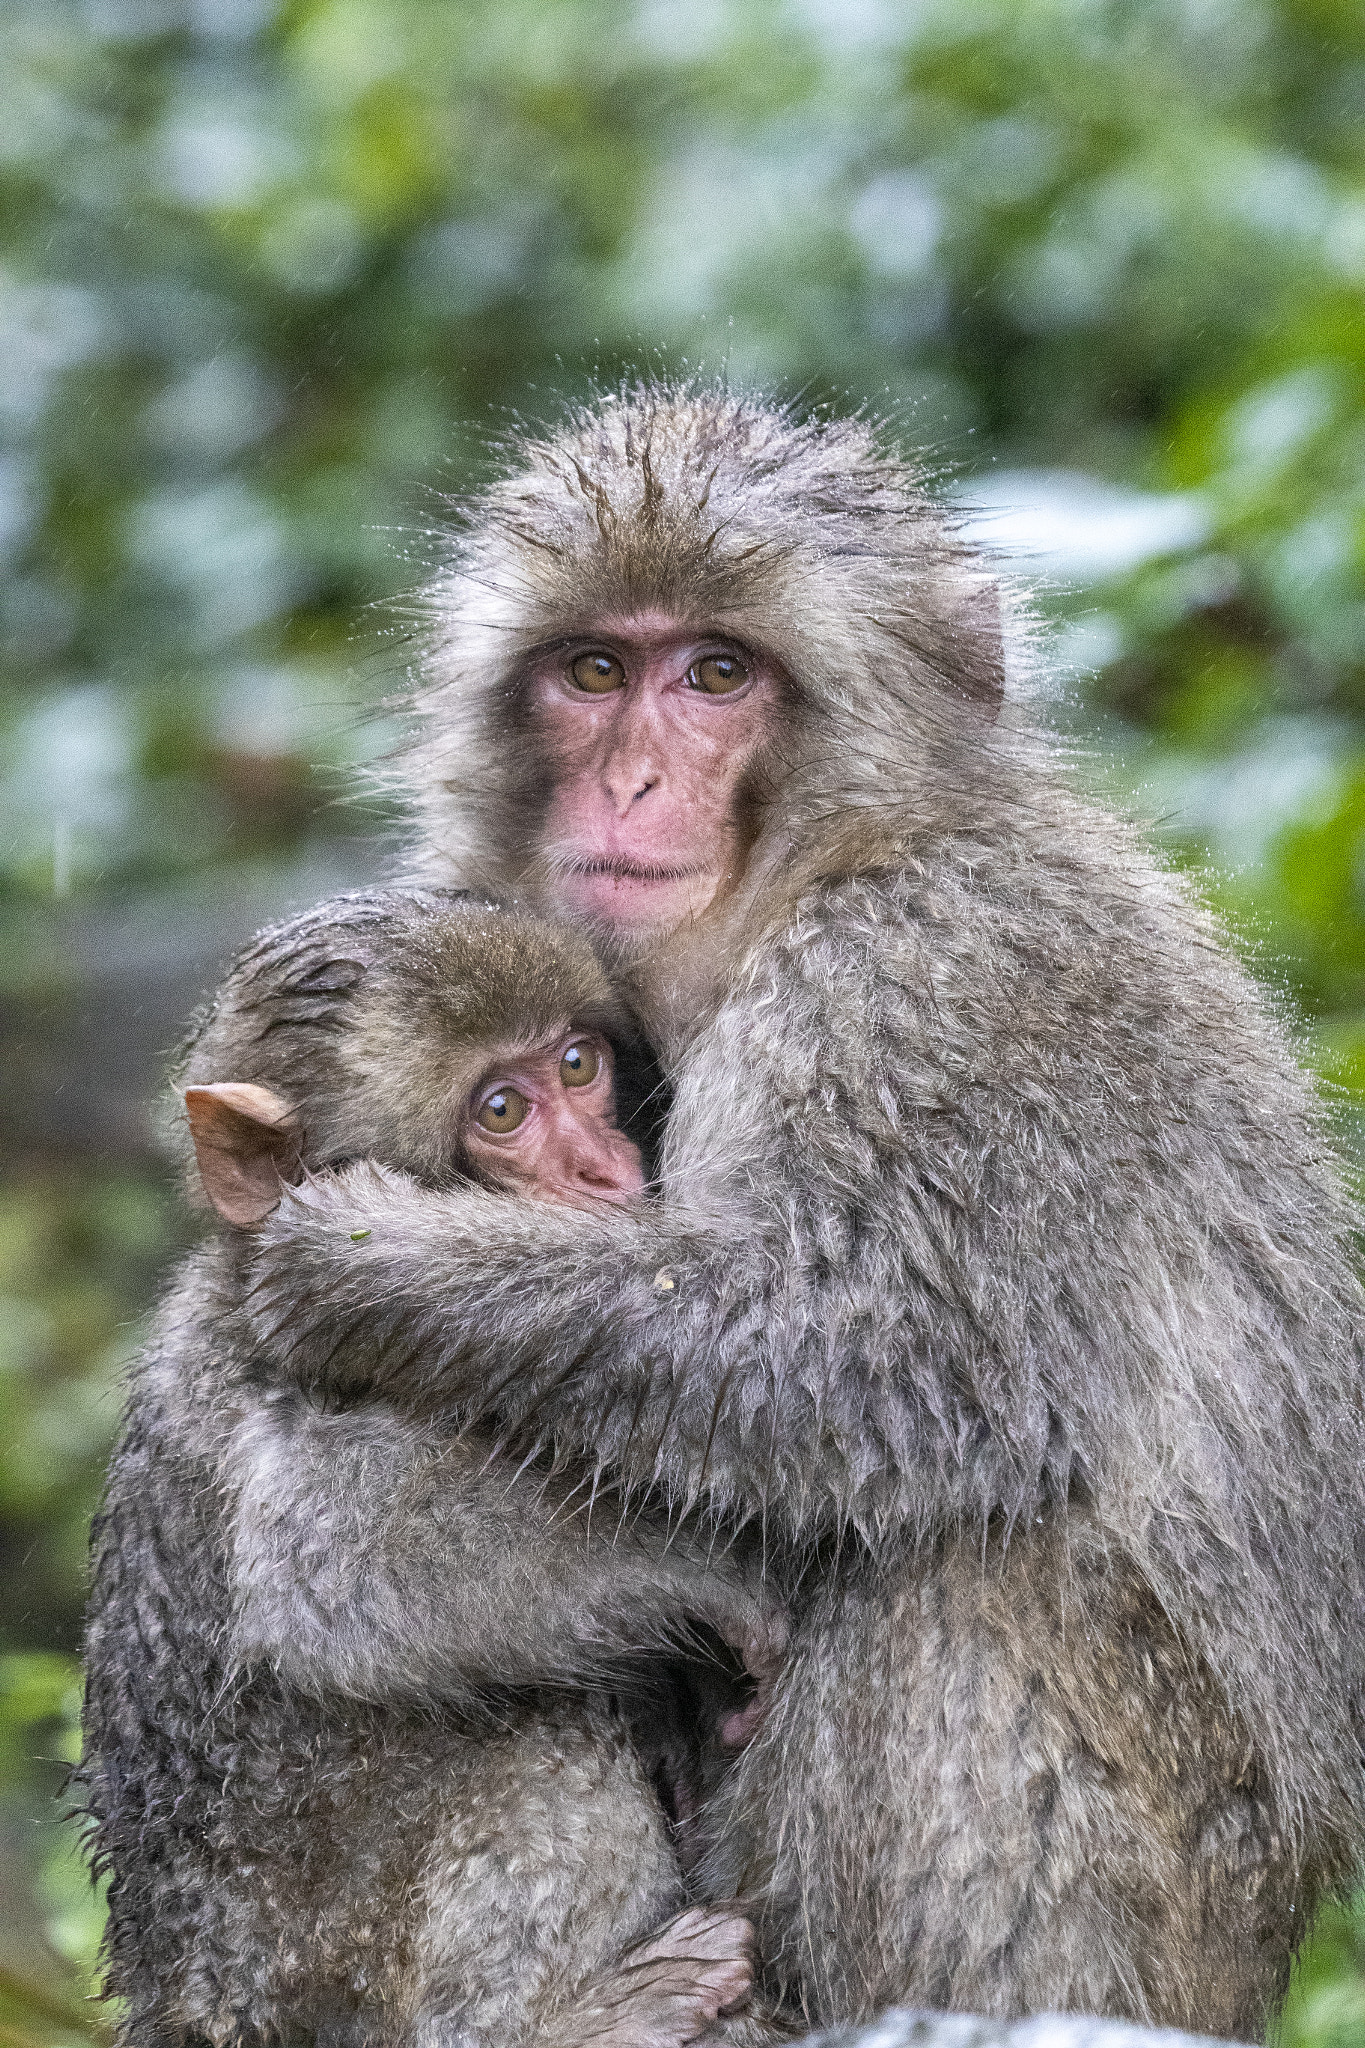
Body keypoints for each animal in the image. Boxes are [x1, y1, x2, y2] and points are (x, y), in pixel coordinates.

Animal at [80, 887, 789, 2048]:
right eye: (501, 1111)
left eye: (579, 1064)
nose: (605, 1168)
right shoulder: (264, 1381)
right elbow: (337, 1567)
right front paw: (714, 1576)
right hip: (344, 1985)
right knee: (534, 1729)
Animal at [223, 382, 1365, 2044]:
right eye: (594, 670)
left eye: (717, 675)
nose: (630, 782)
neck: (811, 874)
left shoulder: (923, 979)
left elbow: (882, 1362)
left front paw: (372, 1270)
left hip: (1189, 1901)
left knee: (964, 1561)